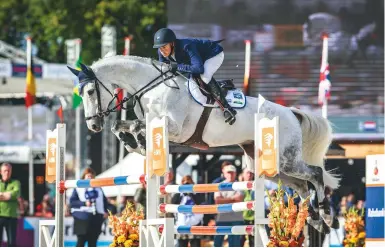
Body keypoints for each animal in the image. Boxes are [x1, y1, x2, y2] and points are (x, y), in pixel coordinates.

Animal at [68, 54, 340, 232]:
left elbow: (136, 126)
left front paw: (140, 143)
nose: (93, 126)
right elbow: (121, 126)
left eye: (90, 92)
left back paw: (326, 215)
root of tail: (292, 113)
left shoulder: (174, 128)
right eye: (80, 93)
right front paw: (133, 143)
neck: (154, 88)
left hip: (286, 159)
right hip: (269, 166)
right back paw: (314, 218)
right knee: (302, 186)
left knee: (315, 174)